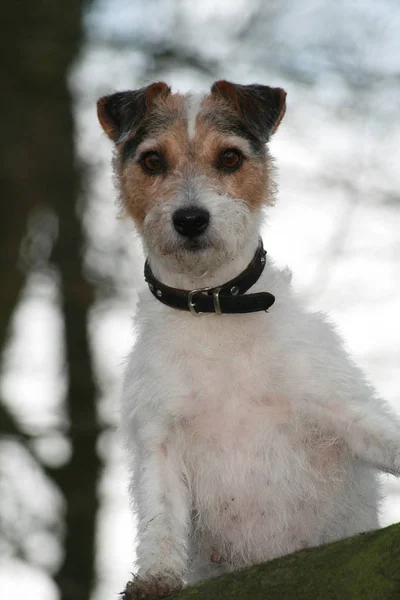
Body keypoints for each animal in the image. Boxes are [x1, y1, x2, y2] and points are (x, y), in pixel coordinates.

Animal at [97, 81, 400, 600]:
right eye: (153, 161)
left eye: (230, 158)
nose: (190, 219)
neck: (214, 307)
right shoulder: (159, 437)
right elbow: (160, 516)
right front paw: (155, 577)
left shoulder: (337, 405)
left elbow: (385, 436)